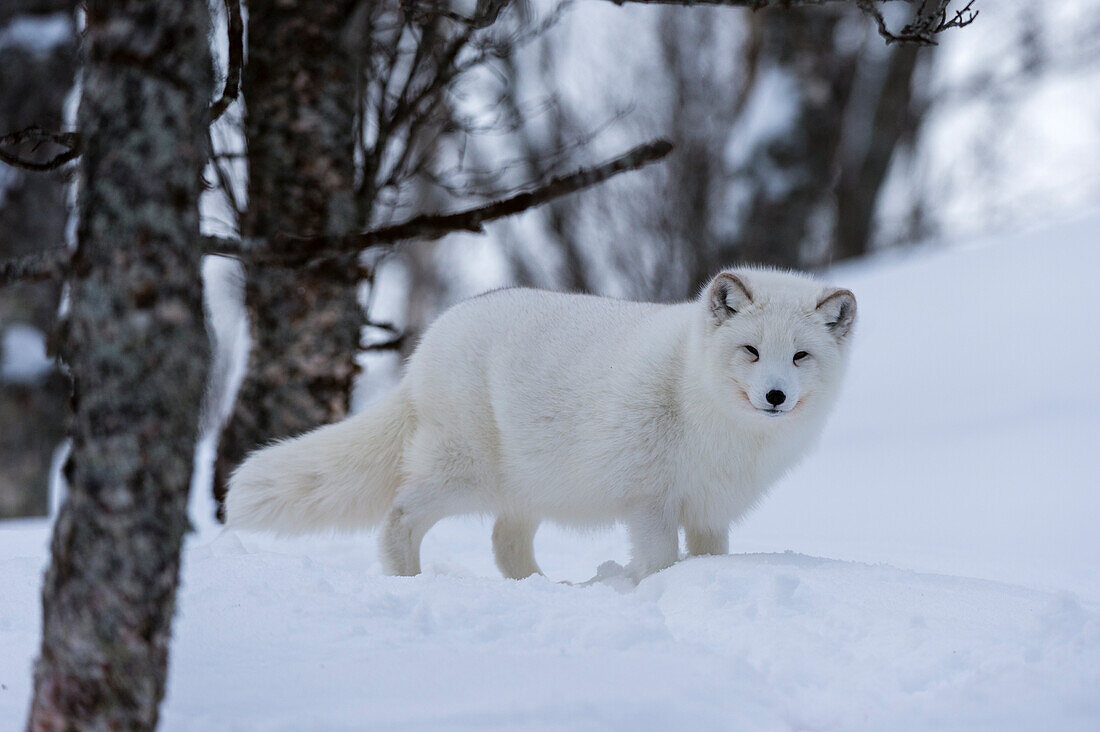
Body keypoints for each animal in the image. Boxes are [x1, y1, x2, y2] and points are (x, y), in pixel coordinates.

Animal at [225, 268, 858, 581]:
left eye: (800, 356)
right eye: (750, 350)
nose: (775, 395)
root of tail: (428, 343)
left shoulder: (708, 510)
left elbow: (706, 561)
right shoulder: (649, 502)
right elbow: (658, 563)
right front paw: (653, 592)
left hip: (527, 488)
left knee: (505, 543)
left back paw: (545, 589)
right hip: (465, 476)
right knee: (399, 517)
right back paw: (409, 582)